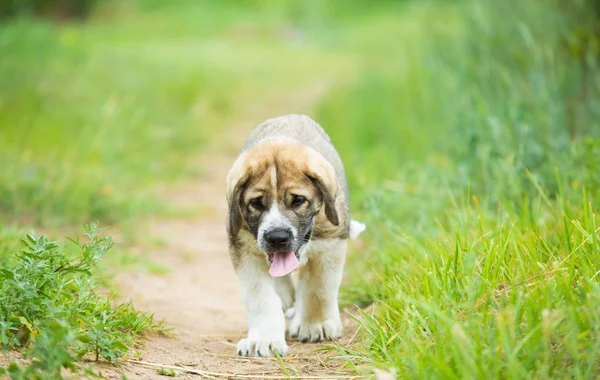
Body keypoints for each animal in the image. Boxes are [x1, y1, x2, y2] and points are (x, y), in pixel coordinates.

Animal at [226, 114, 364, 358]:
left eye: (298, 201)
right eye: (256, 203)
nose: (277, 237)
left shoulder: (330, 244)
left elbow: (318, 289)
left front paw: (317, 325)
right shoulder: (243, 248)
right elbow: (260, 297)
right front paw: (263, 340)